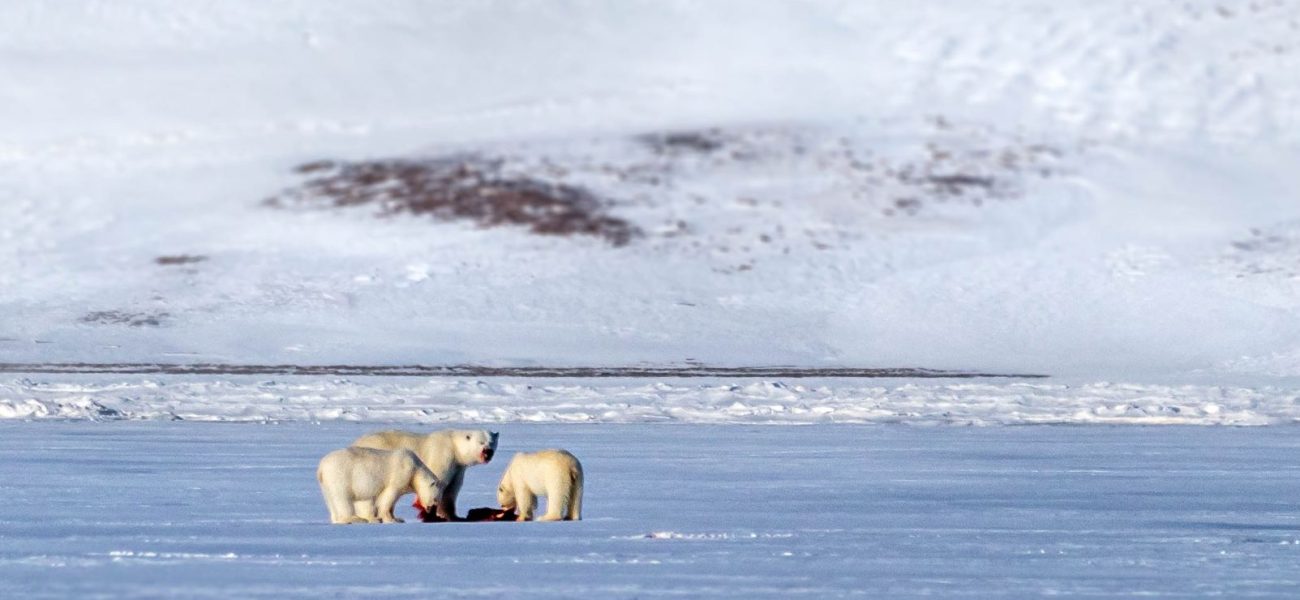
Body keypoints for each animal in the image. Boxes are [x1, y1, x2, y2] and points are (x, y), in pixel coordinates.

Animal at [351, 425, 496, 519]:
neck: (454, 446)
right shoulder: (442, 455)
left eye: (492, 442)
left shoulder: (458, 467)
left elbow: (452, 490)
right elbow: (438, 482)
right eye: (481, 442)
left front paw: (454, 516)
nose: (488, 451)